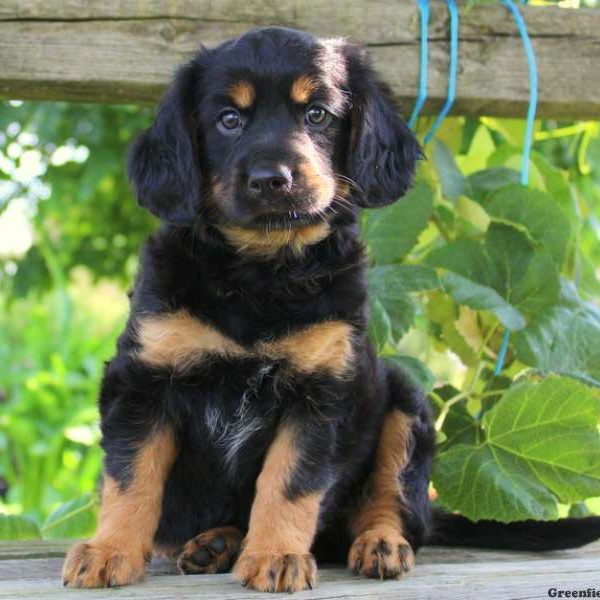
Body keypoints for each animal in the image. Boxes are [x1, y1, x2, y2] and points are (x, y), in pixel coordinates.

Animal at [61, 25, 600, 592]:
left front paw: (276, 555)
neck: (261, 275)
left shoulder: (321, 392)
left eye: (317, 114)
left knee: (393, 504)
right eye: (228, 119)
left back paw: (379, 544)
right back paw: (217, 543)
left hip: (404, 402)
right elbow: (131, 476)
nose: (271, 179)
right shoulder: (144, 379)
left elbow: (289, 482)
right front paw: (109, 550)